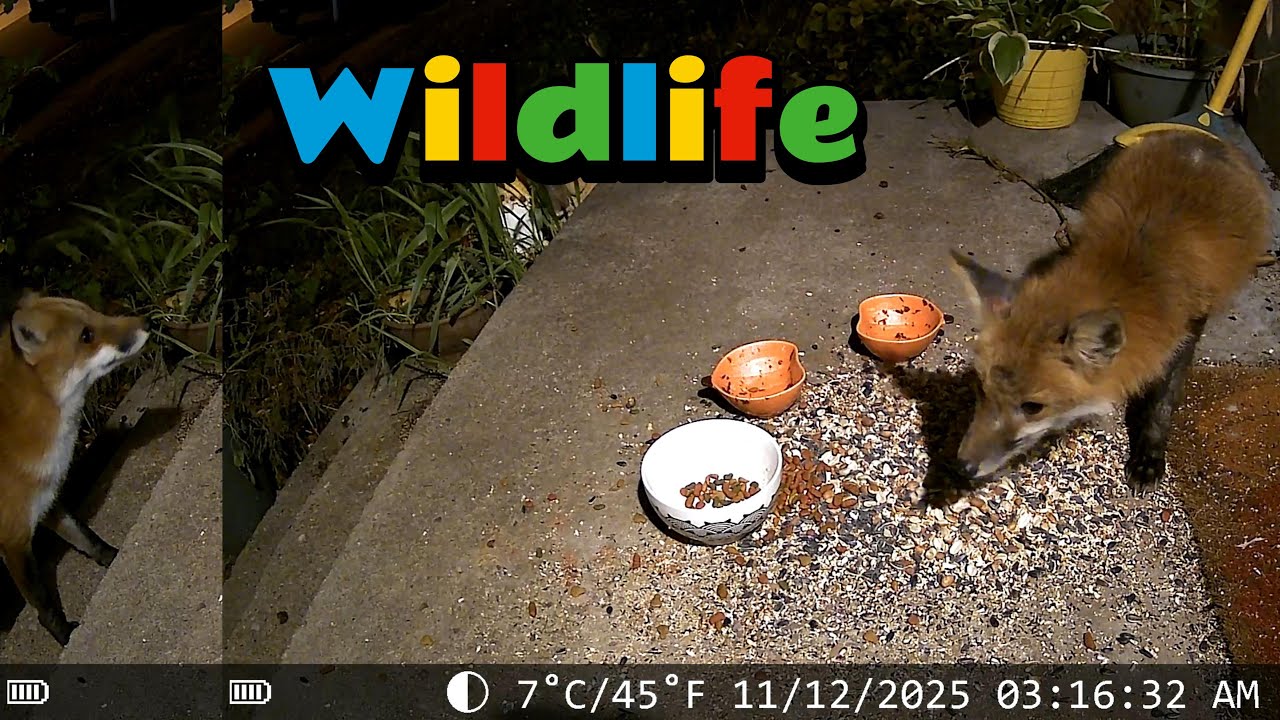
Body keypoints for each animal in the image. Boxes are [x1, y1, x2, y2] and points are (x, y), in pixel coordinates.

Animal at [0, 292, 150, 645]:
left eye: (94, 312)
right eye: (86, 336)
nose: (148, 320)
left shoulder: (45, 501)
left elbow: (85, 538)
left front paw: (113, 557)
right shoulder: (12, 539)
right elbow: (43, 602)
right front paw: (64, 635)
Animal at [950, 129, 1272, 495]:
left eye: (1032, 407)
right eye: (981, 387)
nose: (962, 467)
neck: (1134, 268)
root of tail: (1201, 136)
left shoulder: (1187, 328)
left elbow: (1161, 404)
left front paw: (1149, 454)